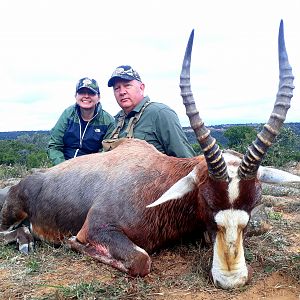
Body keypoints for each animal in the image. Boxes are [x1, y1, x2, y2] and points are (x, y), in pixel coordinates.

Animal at [0, 20, 300, 288]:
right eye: (207, 200)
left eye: (254, 202)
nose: (231, 279)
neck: (159, 182)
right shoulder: (96, 229)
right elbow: (141, 260)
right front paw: (71, 242)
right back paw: (25, 239)